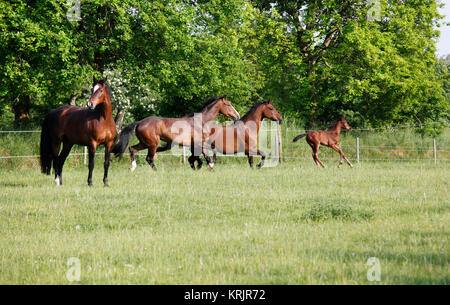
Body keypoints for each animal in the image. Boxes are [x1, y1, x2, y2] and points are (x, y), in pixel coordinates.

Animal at [111, 95, 239, 171]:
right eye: (228, 104)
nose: (237, 115)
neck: (201, 121)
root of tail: (140, 122)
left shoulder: (196, 145)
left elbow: (199, 157)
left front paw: (201, 167)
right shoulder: (200, 144)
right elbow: (209, 155)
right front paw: (209, 166)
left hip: (145, 143)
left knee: (132, 149)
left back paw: (132, 168)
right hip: (152, 144)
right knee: (149, 158)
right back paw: (155, 171)